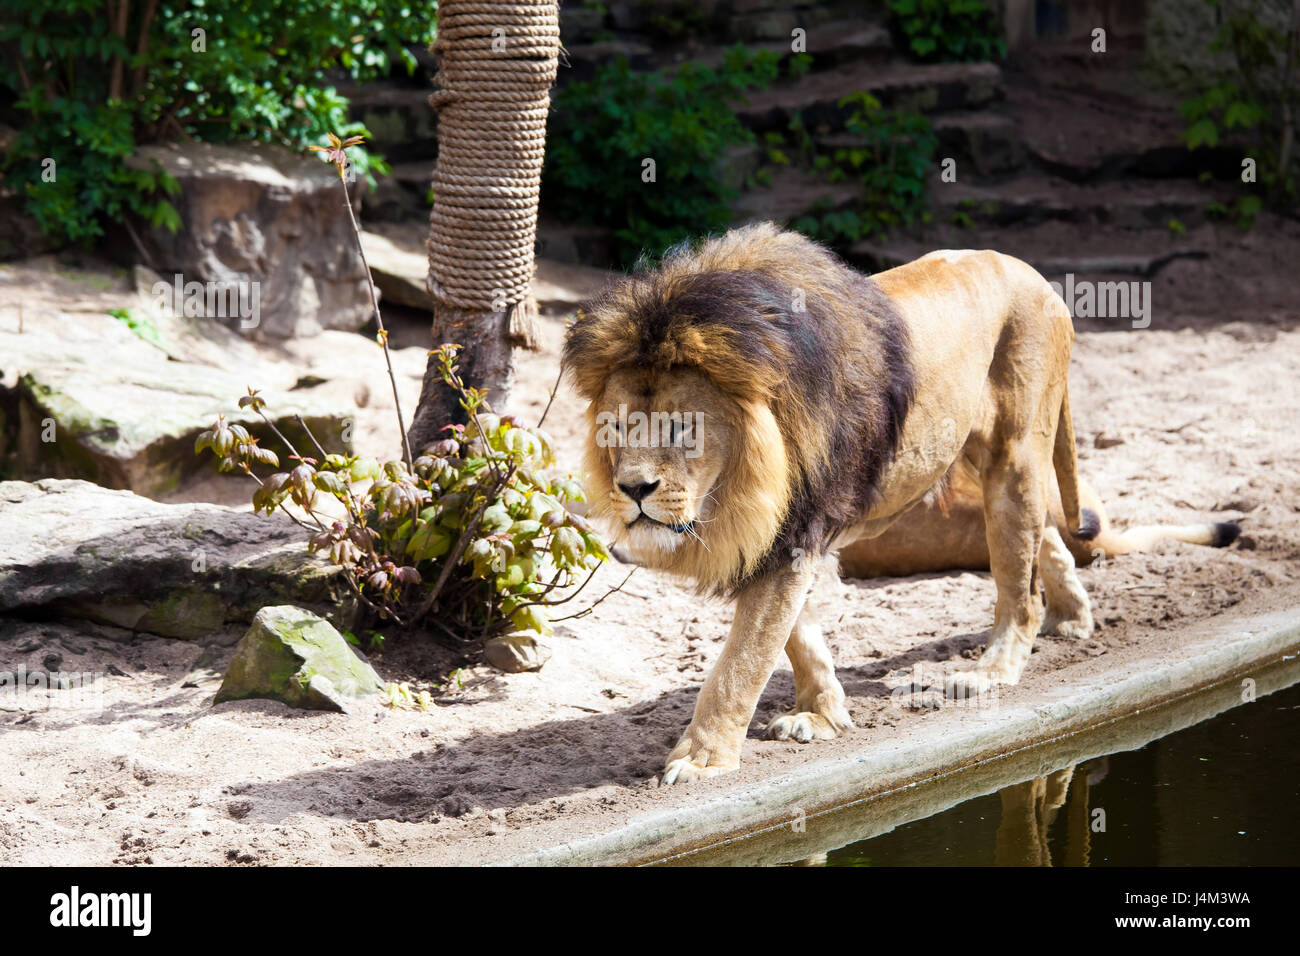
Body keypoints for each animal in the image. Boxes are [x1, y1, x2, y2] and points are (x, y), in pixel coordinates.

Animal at [564, 222, 1102, 785]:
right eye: (617, 426)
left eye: (681, 427)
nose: (633, 489)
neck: (740, 484)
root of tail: (1031, 273)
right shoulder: (782, 537)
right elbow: (794, 635)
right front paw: (820, 715)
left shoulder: (795, 529)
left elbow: (744, 660)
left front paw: (701, 760)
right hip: (984, 461)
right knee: (1045, 536)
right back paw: (1072, 617)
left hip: (1014, 454)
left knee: (1020, 586)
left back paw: (992, 672)